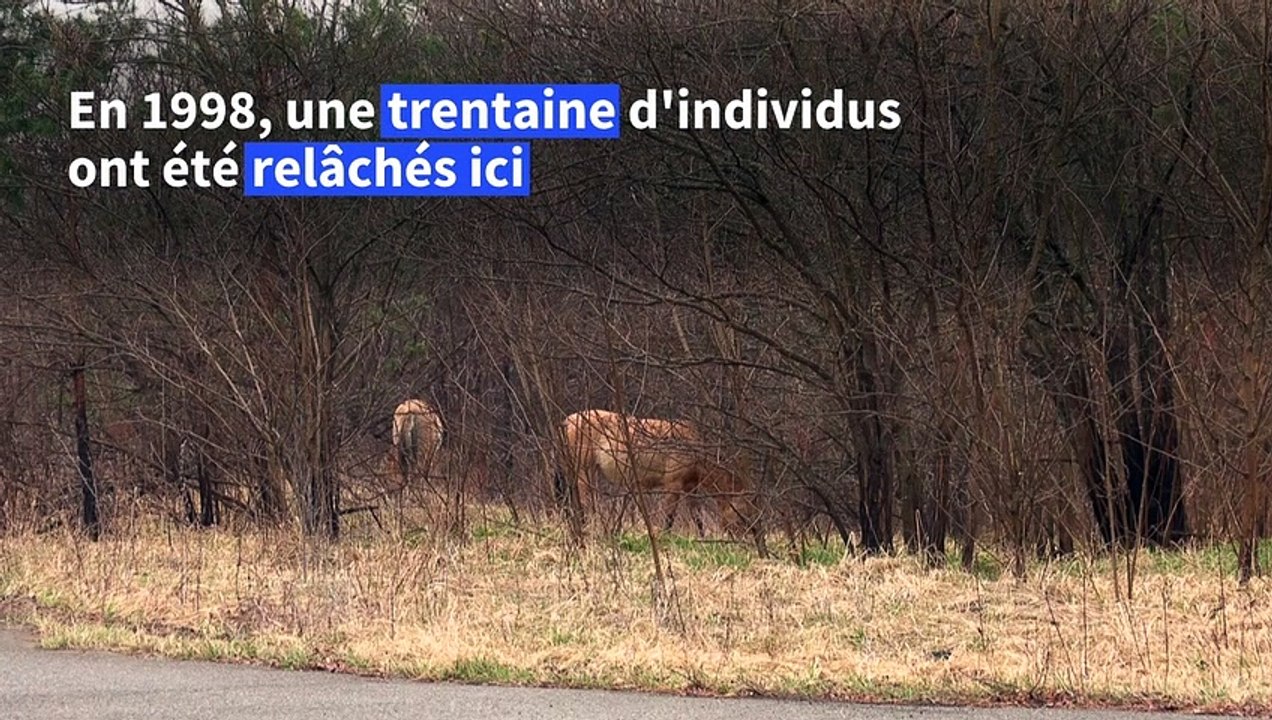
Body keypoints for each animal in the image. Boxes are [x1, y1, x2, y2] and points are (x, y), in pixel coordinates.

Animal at [555, 409, 766, 555]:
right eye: (742, 513)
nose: (745, 541)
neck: (693, 451)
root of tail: (566, 421)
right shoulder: (673, 484)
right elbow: (669, 517)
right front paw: (666, 540)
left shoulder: (690, 488)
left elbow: (697, 517)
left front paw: (703, 541)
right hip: (583, 471)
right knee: (584, 503)